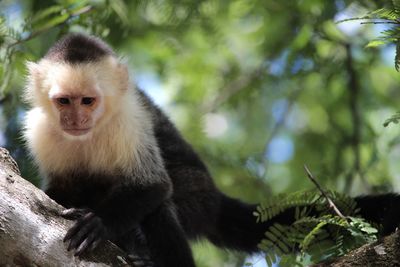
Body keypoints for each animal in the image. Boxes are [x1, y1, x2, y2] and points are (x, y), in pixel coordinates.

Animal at [22, 34, 400, 267]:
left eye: (88, 101)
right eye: (64, 102)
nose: (75, 119)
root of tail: (215, 200)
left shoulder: (129, 122)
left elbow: (153, 186)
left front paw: (98, 222)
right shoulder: (39, 131)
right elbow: (58, 189)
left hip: (197, 198)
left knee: (162, 206)